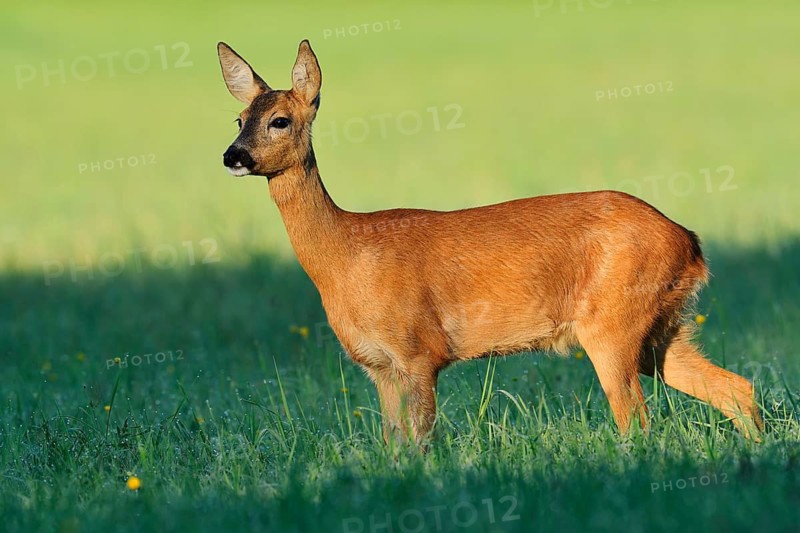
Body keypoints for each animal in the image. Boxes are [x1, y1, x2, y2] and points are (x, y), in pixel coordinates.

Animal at [217, 40, 763, 444]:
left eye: (280, 120)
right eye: (239, 119)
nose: (233, 156)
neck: (345, 254)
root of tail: (689, 241)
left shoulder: (419, 351)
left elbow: (422, 441)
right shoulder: (378, 366)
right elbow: (394, 444)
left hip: (614, 320)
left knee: (638, 420)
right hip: (661, 327)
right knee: (736, 388)